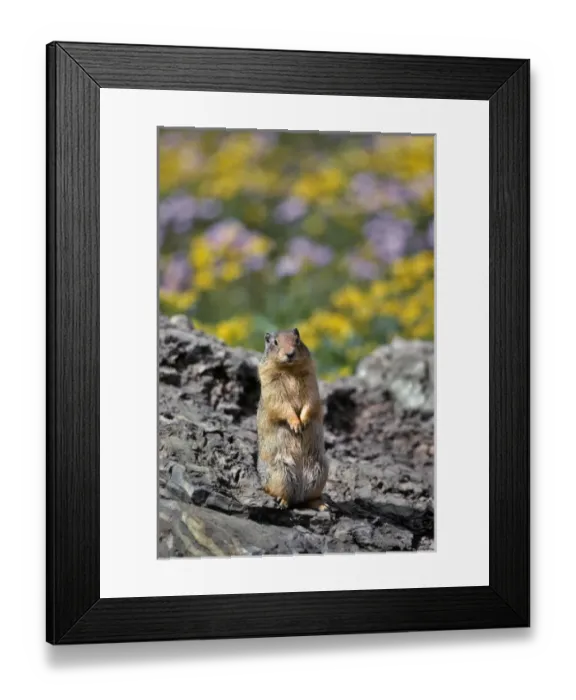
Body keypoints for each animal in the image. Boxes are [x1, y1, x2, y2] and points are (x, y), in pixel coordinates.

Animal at [256, 327, 329, 511]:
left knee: (310, 497)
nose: (290, 354)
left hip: (320, 472)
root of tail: (299, 495)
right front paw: (296, 424)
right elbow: (282, 404)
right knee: (279, 492)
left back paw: (322, 505)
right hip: (281, 472)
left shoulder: (310, 379)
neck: (290, 369)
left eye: (297, 340)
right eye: (275, 342)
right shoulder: (271, 383)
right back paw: (283, 502)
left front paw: (303, 421)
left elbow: (310, 400)